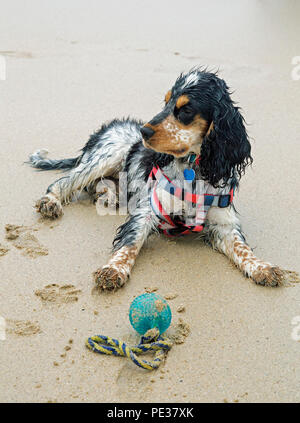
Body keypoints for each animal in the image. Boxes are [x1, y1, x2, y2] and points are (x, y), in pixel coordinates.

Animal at [27, 68, 294, 292]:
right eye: (166, 102)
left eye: (185, 109)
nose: (144, 132)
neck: (193, 168)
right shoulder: (148, 209)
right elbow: (130, 242)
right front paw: (113, 269)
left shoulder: (223, 222)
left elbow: (242, 247)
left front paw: (263, 267)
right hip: (108, 153)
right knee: (65, 182)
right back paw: (51, 202)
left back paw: (107, 195)